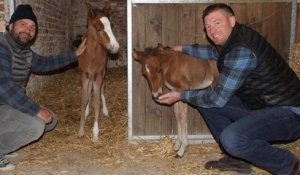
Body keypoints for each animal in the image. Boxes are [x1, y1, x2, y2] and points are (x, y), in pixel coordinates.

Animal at [78, 3, 119, 142]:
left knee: (101, 91)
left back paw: (105, 110)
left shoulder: (99, 75)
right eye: (98, 28)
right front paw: (81, 129)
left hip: (103, 73)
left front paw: (95, 133)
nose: (115, 47)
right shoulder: (84, 75)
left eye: (111, 26)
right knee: (90, 90)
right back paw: (86, 111)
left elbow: (97, 102)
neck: (91, 54)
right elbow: (84, 99)